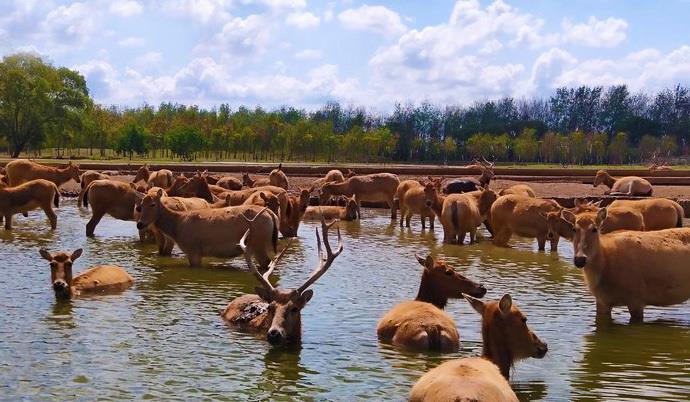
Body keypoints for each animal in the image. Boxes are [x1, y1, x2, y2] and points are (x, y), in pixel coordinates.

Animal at [136, 191, 278, 266]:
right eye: (141, 205)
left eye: (152, 204)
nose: (140, 224)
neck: (176, 227)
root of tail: (272, 215)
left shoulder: (193, 250)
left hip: (258, 243)